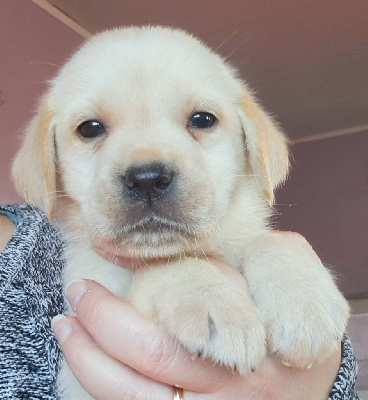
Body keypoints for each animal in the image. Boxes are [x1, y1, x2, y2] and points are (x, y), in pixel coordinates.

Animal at [12, 26, 348, 398]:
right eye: (90, 128)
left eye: (202, 120)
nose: (147, 179)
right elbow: (167, 261)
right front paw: (216, 304)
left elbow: (274, 240)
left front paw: (305, 306)